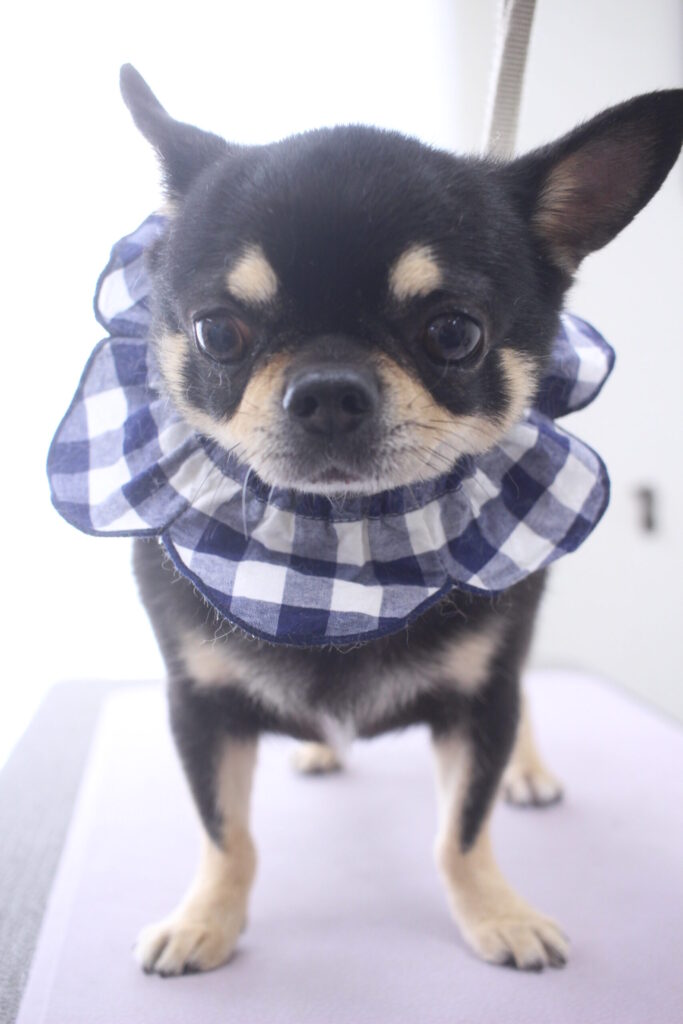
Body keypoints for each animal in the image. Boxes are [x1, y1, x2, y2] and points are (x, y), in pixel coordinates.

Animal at [115, 66, 682, 975]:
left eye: (453, 333)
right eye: (216, 333)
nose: (327, 390)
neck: (337, 549)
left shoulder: (481, 701)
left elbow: (461, 831)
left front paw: (496, 913)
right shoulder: (199, 705)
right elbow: (227, 835)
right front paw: (205, 920)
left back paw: (527, 772)